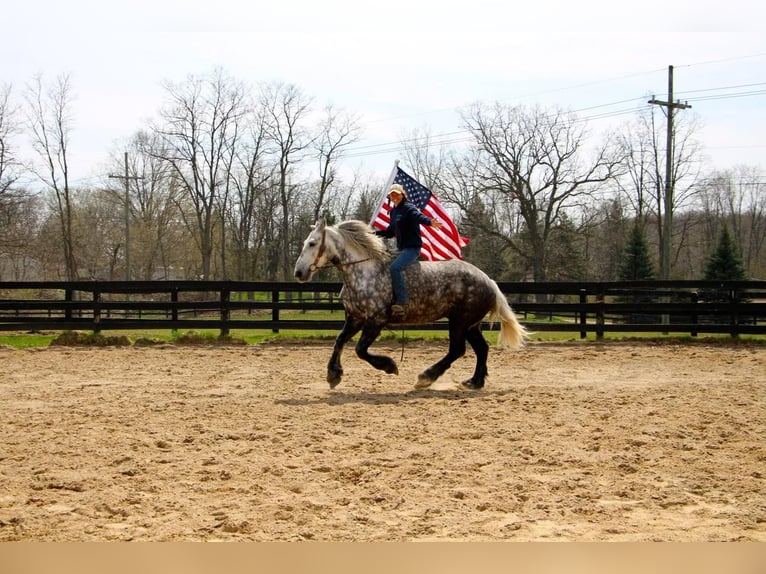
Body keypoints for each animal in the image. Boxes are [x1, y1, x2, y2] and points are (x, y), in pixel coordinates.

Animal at [294, 219, 528, 392]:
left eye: (312, 243)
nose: (299, 272)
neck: (363, 273)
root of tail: (489, 281)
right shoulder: (355, 318)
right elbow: (339, 341)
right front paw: (333, 374)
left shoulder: (376, 320)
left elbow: (360, 350)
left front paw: (389, 366)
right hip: (471, 324)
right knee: (481, 348)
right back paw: (474, 382)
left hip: (459, 322)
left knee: (457, 350)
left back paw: (426, 377)